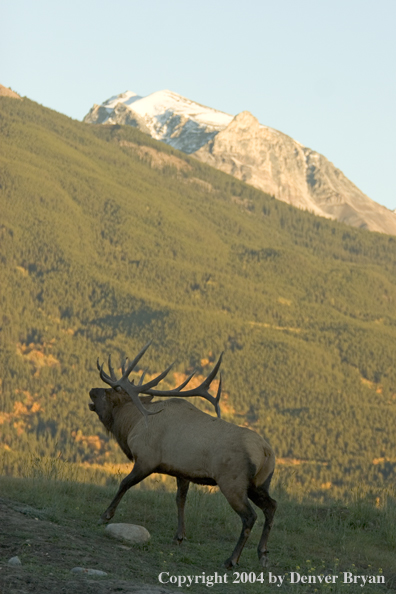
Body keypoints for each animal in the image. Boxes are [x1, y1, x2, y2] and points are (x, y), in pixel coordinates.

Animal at [89, 340, 276, 568]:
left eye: (109, 392)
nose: (91, 390)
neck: (132, 425)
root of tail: (267, 452)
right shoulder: (182, 471)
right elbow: (180, 500)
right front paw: (179, 536)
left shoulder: (147, 459)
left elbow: (124, 483)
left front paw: (105, 516)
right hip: (260, 483)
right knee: (271, 507)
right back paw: (263, 553)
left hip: (233, 482)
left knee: (250, 516)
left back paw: (231, 560)